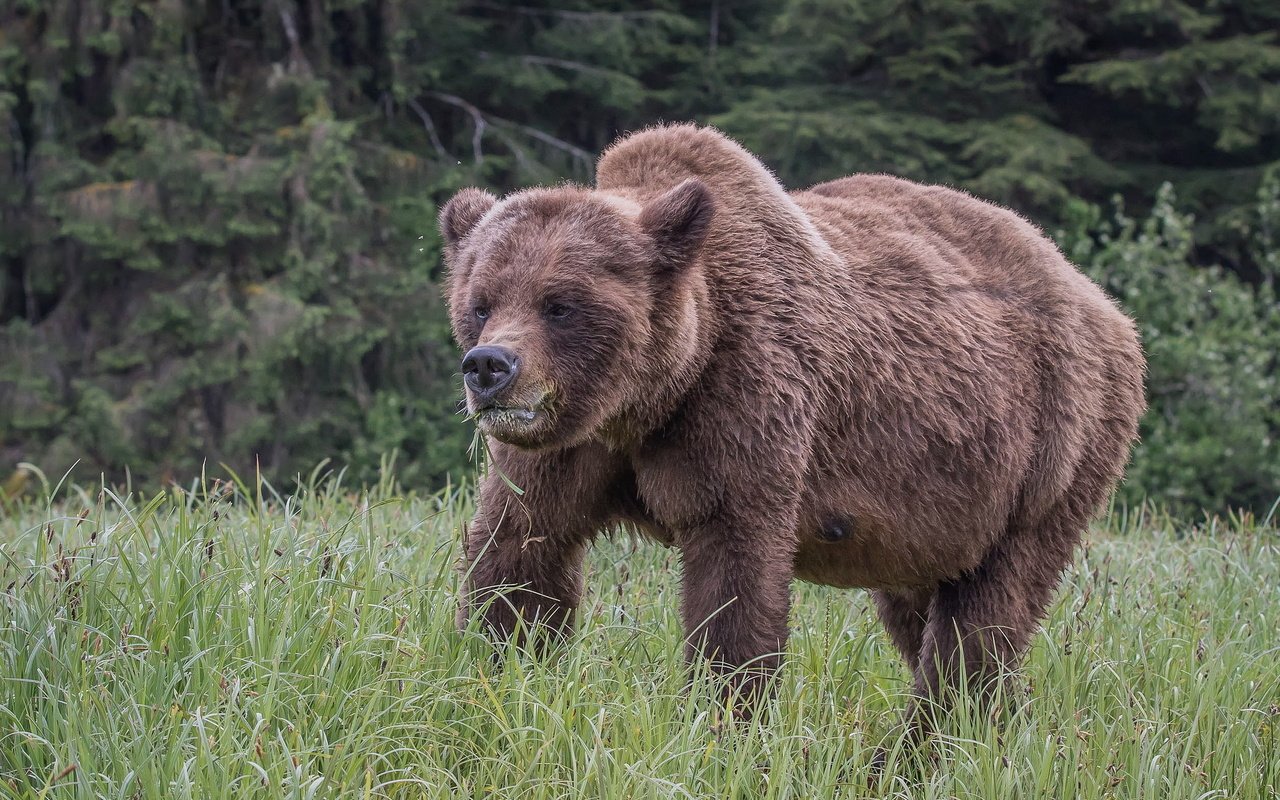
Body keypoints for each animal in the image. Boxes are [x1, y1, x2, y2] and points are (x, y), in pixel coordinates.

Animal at [442, 121, 1152, 727]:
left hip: (1052, 454)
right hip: (937, 511)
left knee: (982, 623)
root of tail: (1107, 307)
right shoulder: (571, 444)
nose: (489, 367)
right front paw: (499, 672)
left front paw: (722, 718)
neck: (647, 401)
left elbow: (733, 577)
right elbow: (521, 549)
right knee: (924, 610)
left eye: (559, 304)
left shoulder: (746, 403)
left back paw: (923, 745)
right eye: (480, 303)